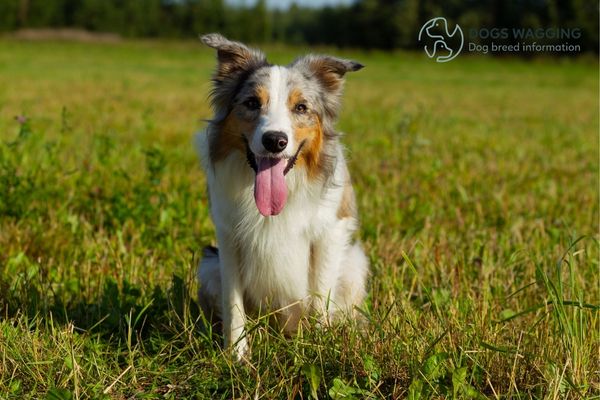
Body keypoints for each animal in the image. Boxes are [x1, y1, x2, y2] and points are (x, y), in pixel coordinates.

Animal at [195, 34, 368, 360]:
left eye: (300, 107)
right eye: (252, 103)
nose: (275, 141)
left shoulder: (330, 232)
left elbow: (319, 296)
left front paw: (319, 347)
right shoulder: (228, 236)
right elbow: (234, 303)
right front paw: (236, 356)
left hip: (354, 264)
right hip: (208, 264)